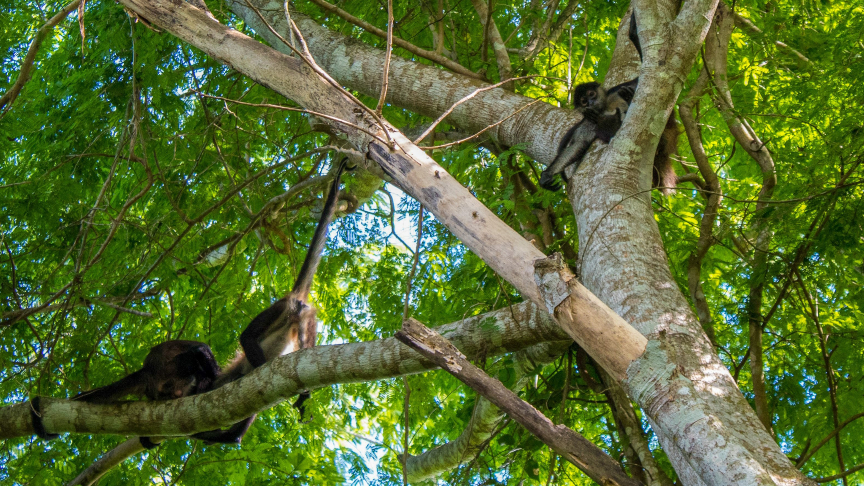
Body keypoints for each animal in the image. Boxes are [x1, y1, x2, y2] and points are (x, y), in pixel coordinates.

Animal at [536, 12, 680, 194]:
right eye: (584, 101)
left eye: (591, 94)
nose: (591, 101)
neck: (605, 107)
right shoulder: (589, 121)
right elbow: (577, 146)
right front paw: (547, 175)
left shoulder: (614, 91)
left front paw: (633, 29)